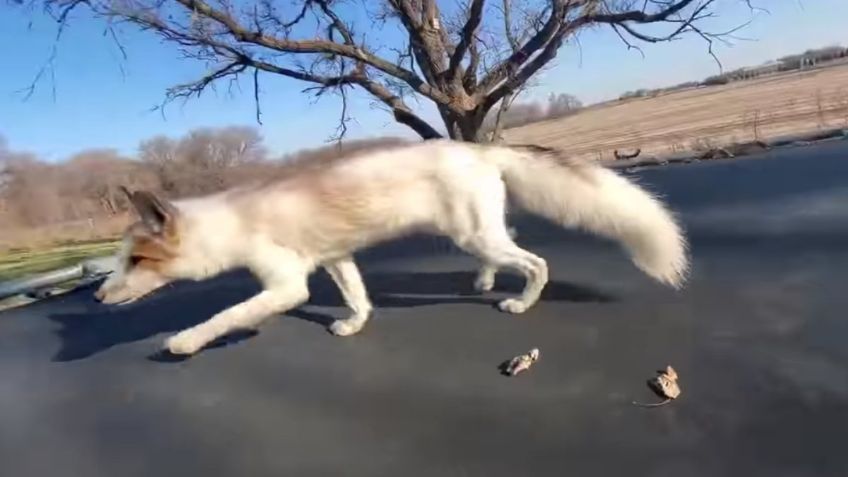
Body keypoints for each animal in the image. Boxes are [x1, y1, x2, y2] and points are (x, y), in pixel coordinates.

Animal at [94, 138, 688, 354]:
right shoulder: (335, 259)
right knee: (507, 248)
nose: (98, 297)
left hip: (476, 233)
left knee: (535, 262)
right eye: (119, 260)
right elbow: (358, 298)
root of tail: (480, 144)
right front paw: (355, 325)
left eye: (136, 260)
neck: (234, 219)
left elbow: (226, 315)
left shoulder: (287, 286)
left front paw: (184, 342)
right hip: (473, 232)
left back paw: (520, 300)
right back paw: (484, 280)